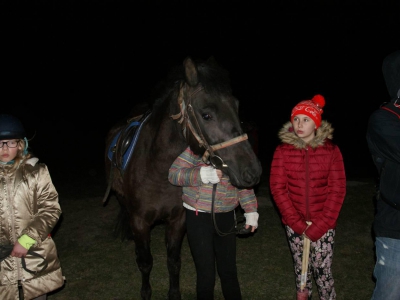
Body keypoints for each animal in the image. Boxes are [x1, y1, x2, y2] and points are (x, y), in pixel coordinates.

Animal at [103, 55, 260, 298]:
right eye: (206, 115)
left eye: (236, 106)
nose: (252, 171)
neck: (157, 170)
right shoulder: (140, 221)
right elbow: (145, 262)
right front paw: (145, 293)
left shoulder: (178, 220)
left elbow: (173, 262)